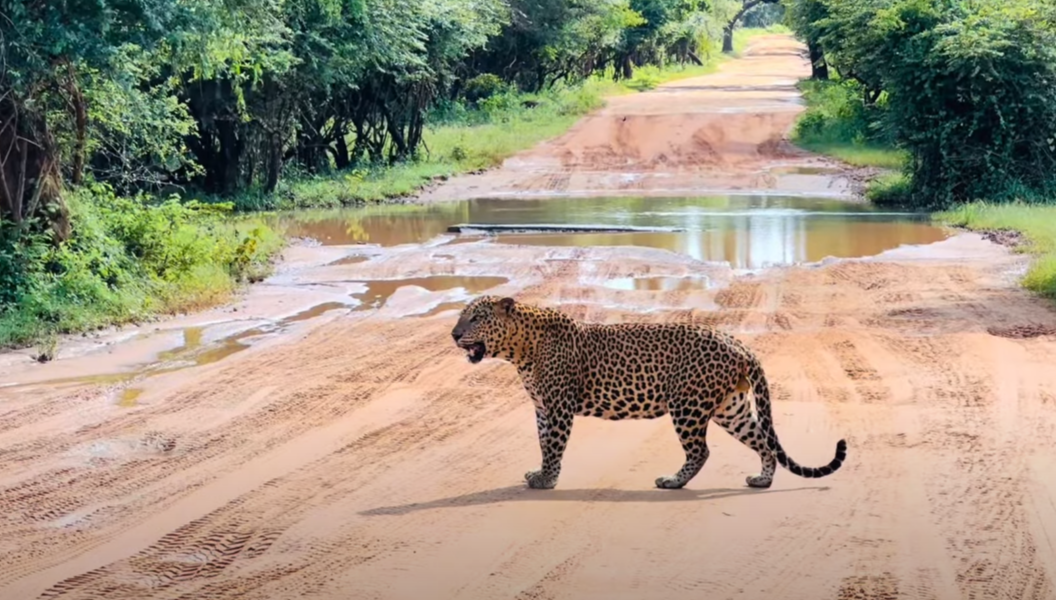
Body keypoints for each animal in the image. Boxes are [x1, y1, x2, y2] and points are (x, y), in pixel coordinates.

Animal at [449, 293, 844, 490]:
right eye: (462, 317)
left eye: (476, 318)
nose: (453, 334)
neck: (519, 349)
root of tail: (737, 343)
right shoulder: (543, 408)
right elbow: (544, 443)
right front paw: (542, 473)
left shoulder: (558, 406)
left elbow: (555, 445)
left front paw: (547, 480)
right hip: (731, 407)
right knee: (762, 440)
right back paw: (762, 480)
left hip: (688, 405)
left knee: (700, 451)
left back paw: (672, 482)